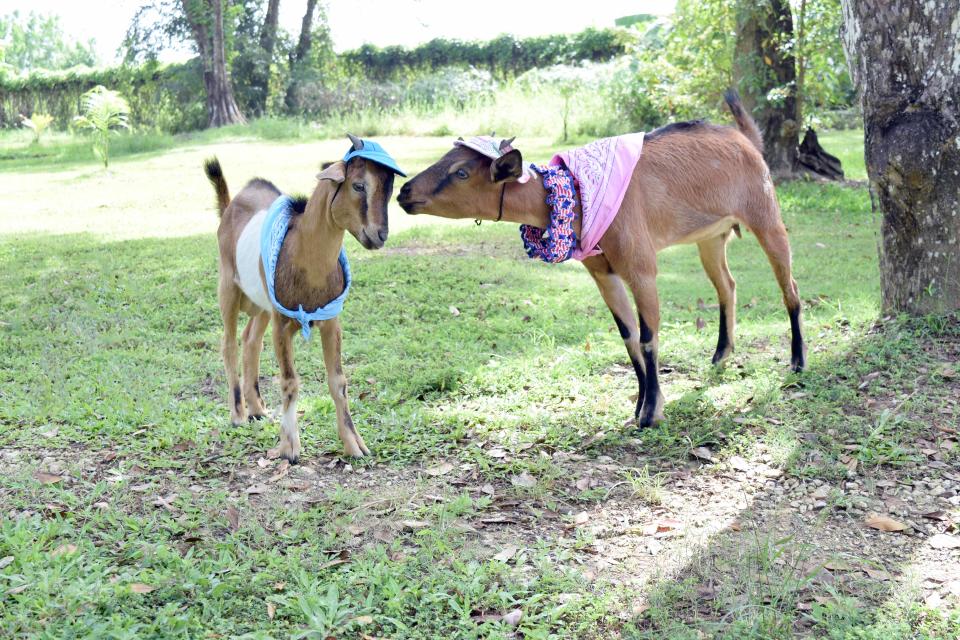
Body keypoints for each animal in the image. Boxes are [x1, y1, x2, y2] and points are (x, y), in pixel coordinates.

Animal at [202, 135, 402, 460]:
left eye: (390, 188)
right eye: (358, 185)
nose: (380, 235)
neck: (302, 250)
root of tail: (231, 204)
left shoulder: (331, 321)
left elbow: (338, 382)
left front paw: (354, 444)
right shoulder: (283, 324)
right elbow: (290, 382)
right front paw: (289, 447)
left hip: (262, 304)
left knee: (250, 340)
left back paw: (257, 409)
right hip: (228, 288)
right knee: (230, 343)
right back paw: (238, 414)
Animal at [396, 91, 804, 430]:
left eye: (462, 172)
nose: (403, 192)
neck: (574, 194)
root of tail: (746, 139)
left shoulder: (641, 268)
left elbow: (648, 337)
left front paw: (652, 412)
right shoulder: (603, 273)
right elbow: (628, 338)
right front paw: (639, 405)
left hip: (766, 215)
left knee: (790, 288)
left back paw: (798, 363)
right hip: (710, 238)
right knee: (727, 286)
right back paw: (720, 356)